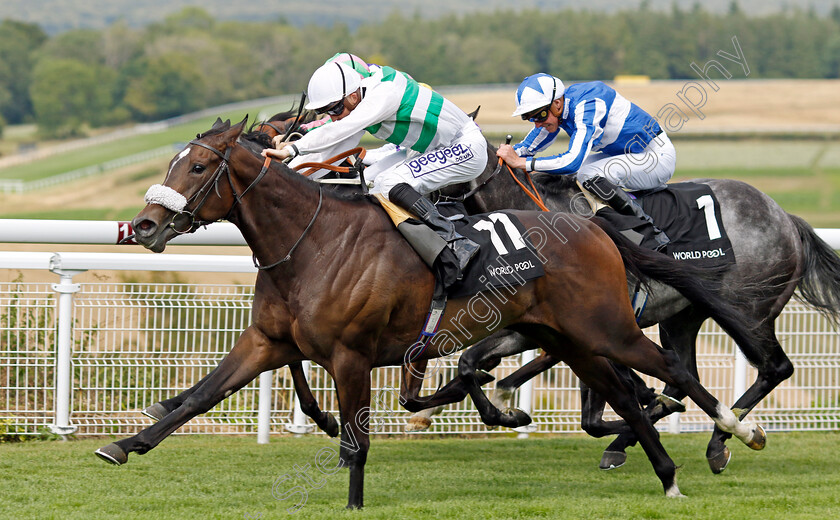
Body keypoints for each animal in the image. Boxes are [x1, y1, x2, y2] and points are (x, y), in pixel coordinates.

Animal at [97, 118, 768, 508]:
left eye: (198, 166)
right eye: (171, 163)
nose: (146, 226)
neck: (313, 241)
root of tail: (593, 226)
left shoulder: (350, 355)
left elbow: (355, 442)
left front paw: (354, 504)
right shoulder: (266, 342)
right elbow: (196, 397)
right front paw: (124, 445)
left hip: (608, 328)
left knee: (673, 373)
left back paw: (736, 434)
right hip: (570, 338)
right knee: (628, 396)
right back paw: (668, 475)